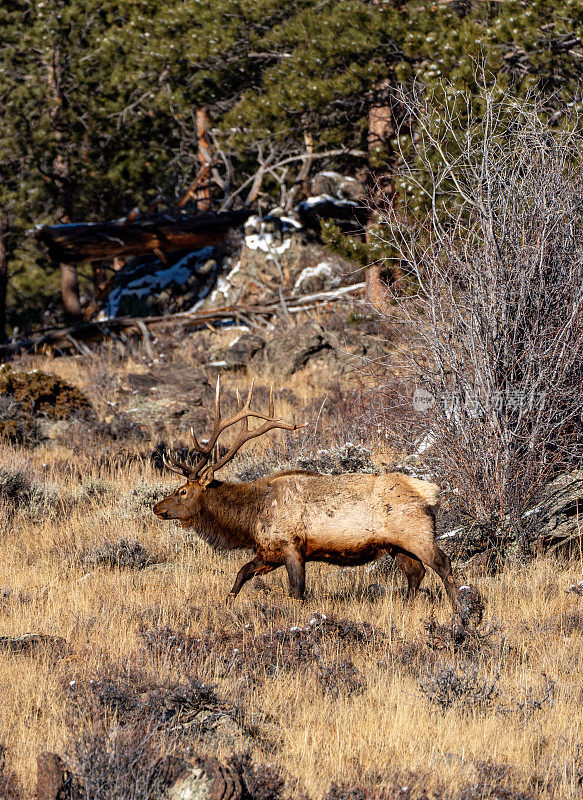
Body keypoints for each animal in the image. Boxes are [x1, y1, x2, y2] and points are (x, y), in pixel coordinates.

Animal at [155, 382, 460, 608]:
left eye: (182, 491)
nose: (157, 507)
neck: (250, 519)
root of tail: (429, 494)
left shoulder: (292, 546)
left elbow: (297, 591)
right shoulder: (269, 552)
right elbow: (242, 573)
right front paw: (227, 603)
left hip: (417, 534)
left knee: (443, 565)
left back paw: (459, 608)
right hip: (397, 545)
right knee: (415, 573)